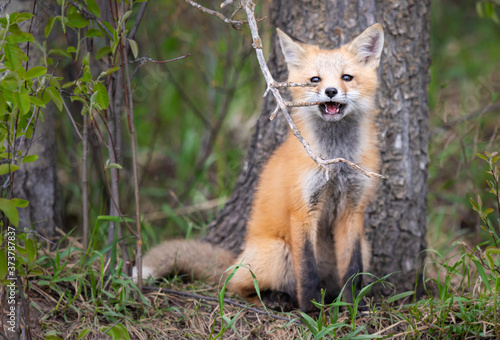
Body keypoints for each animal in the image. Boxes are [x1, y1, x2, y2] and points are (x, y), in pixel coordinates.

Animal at [135, 24, 384, 314]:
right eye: (315, 80)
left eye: (347, 77)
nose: (331, 91)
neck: (336, 161)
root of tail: (238, 255)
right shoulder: (302, 209)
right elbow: (307, 269)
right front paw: (311, 310)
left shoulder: (353, 209)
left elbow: (353, 268)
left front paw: (354, 305)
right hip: (277, 251)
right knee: (235, 285)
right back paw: (275, 299)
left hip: (363, 246)